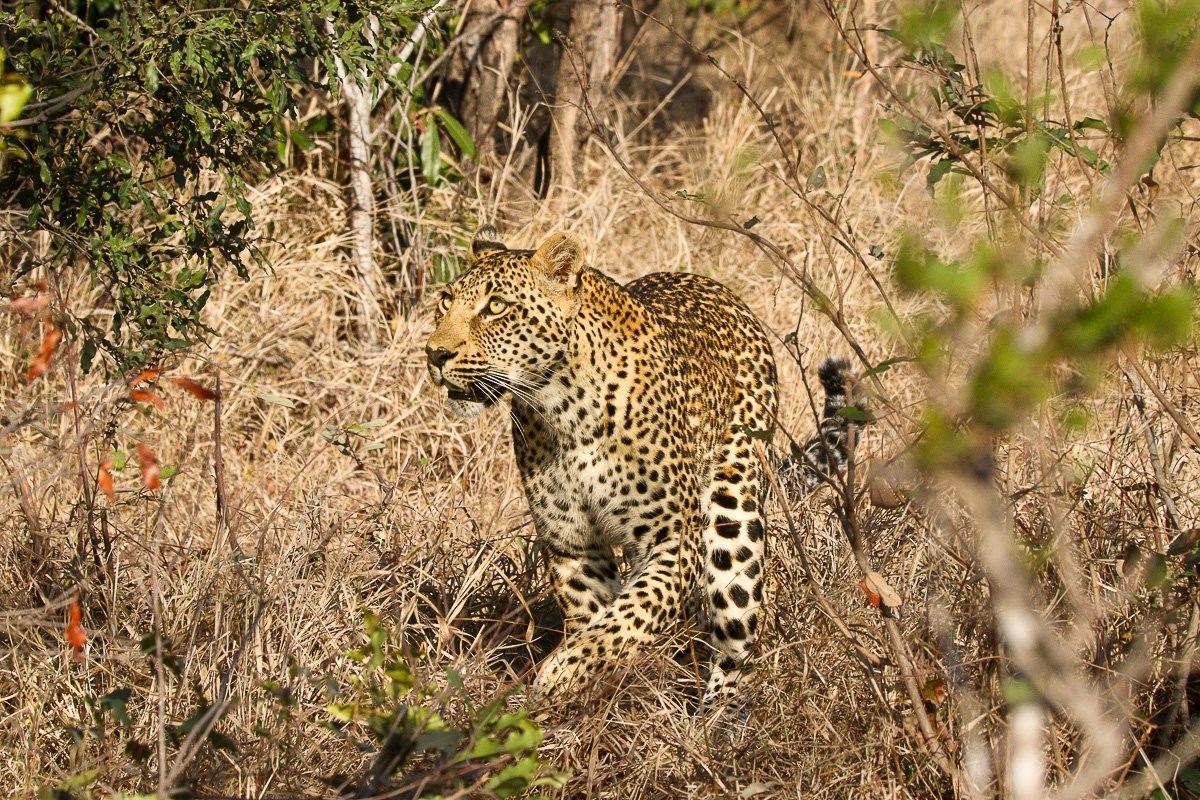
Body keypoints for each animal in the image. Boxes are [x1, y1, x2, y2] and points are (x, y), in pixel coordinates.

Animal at [425, 227, 858, 709]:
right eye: (445, 301)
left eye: (496, 307)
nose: (435, 354)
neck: (561, 408)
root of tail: (720, 289)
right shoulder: (575, 546)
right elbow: (599, 619)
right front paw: (579, 701)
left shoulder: (675, 540)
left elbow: (630, 615)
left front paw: (560, 672)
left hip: (734, 514)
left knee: (736, 633)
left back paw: (718, 717)